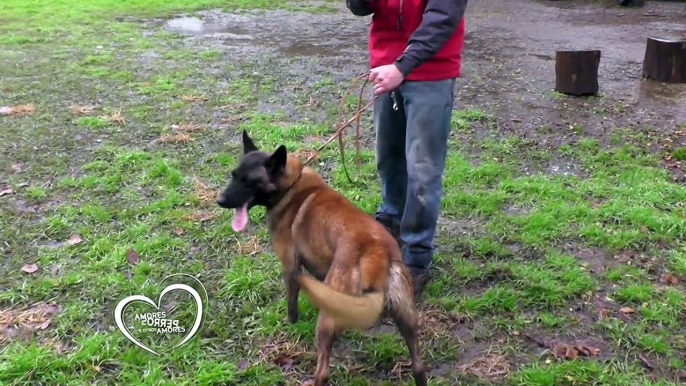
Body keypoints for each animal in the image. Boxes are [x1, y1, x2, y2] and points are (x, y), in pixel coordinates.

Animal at [218, 130, 428, 386]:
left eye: (249, 181)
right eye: (233, 175)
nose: (220, 200)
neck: (291, 186)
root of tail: (377, 253)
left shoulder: (290, 267)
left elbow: (291, 303)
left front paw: (291, 322)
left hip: (327, 320)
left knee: (323, 371)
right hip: (406, 318)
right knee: (418, 367)